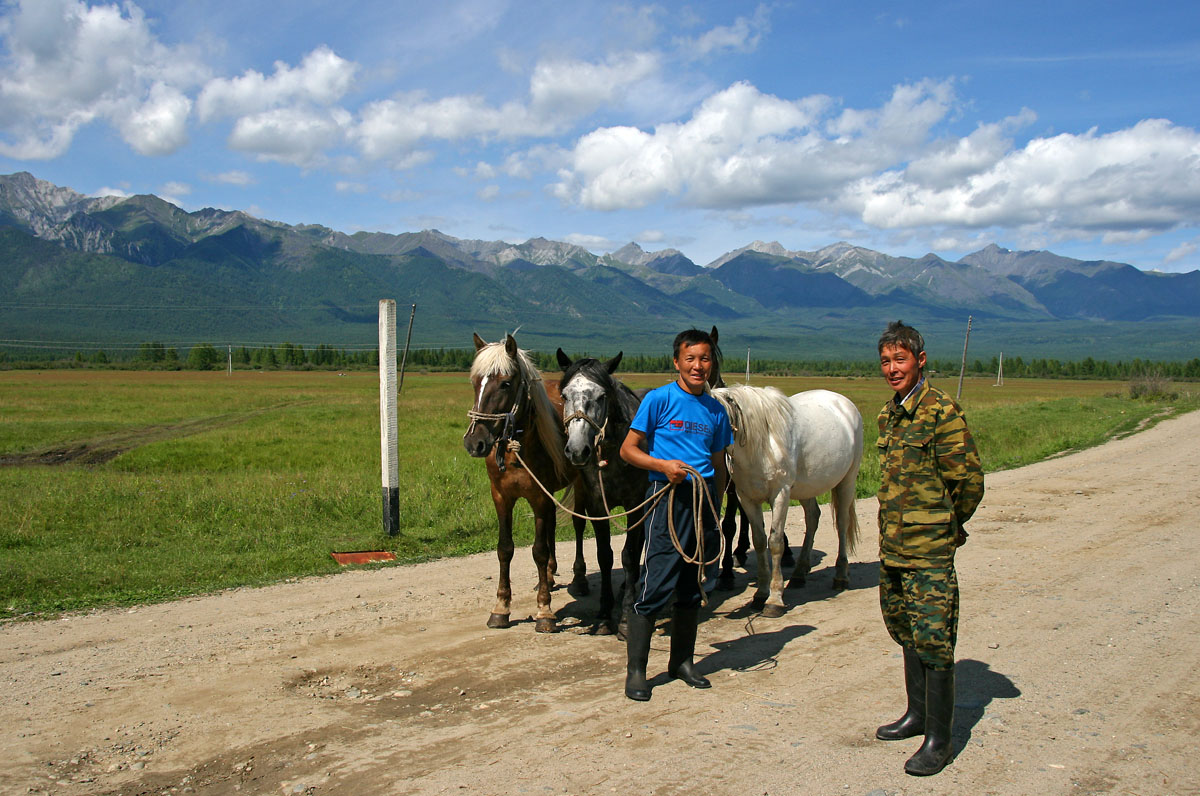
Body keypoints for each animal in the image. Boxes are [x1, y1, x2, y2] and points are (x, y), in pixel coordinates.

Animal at [460, 333, 573, 633]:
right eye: (475, 382)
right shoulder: (501, 497)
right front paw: (501, 607)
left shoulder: (539, 498)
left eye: (506, 383)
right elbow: (504, 549)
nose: (474, 442)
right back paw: (548, 577)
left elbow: (539, 551)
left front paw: (544, 611)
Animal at [710, 384, 864, 614]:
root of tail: (844, 403)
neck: (762, 444)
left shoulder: (780, 494)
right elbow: (759, 540)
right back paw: (800, 573)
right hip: (807, 488)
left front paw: (774, 599)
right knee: (812, 519)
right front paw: (760, 594)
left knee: (842, 524)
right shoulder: (747, 498)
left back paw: (841, 576)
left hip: (847, 481)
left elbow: (775, 542)